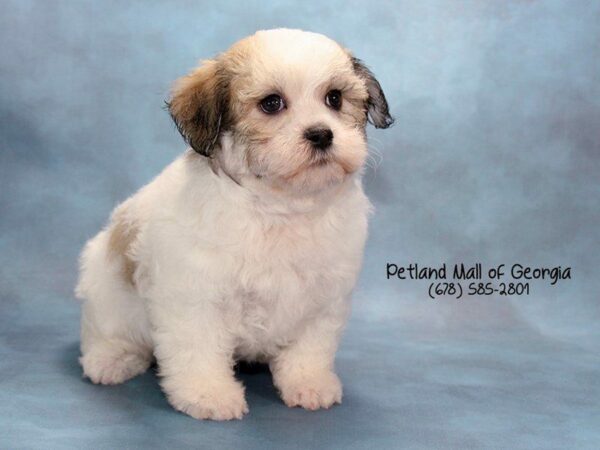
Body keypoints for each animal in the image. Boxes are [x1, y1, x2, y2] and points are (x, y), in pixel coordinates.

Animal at [75, 28, 394, 420]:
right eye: (271, 103)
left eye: (334, 98)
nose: (321, 134)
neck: (281, 207)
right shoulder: (195, 297)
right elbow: (199, 349)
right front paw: (208, 394)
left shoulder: (324, 298)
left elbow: (310, 347)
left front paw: (309, 383)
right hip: (106, 289)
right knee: (105, 332)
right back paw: (111, 360)